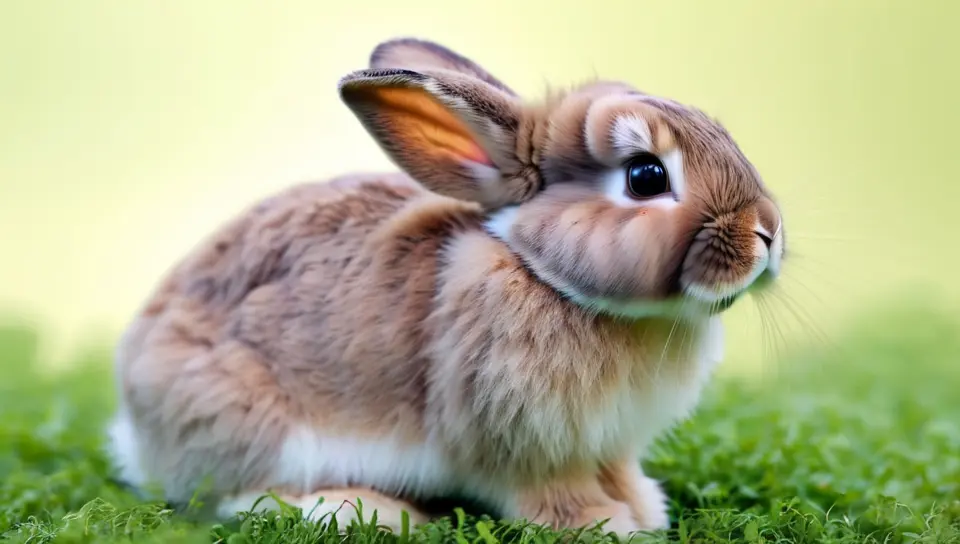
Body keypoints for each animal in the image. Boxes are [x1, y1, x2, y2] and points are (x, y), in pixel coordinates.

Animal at [106, 37, 785, 538]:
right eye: (646, 176)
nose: (768, 233)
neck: (544, 273)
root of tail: (139, 429)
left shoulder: (607, 442)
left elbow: (617, 472)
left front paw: (645, 510)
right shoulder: (522, 445)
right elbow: (549, 492)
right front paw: (603, 525)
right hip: (259, 426)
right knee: (235, 496)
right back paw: (360, 510)